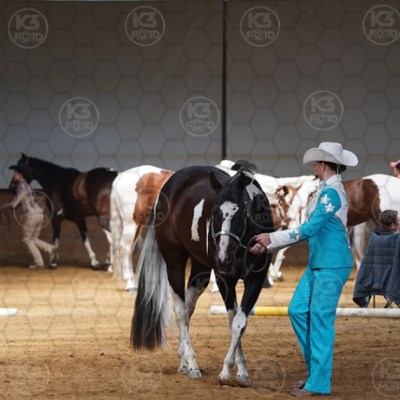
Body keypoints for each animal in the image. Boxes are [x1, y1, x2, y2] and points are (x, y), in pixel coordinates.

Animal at [131, 166, 274, 386]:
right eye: (214, 212)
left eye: (241, 212)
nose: (223, 258)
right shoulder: (225, 280)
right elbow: (233, 320)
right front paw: (226, 371)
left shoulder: (256, 279)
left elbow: (240, 323)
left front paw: (241, 372)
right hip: (175, 262)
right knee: (181, 311)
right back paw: (192, 364)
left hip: (200, 269)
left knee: (188, 308)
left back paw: (183, 360)